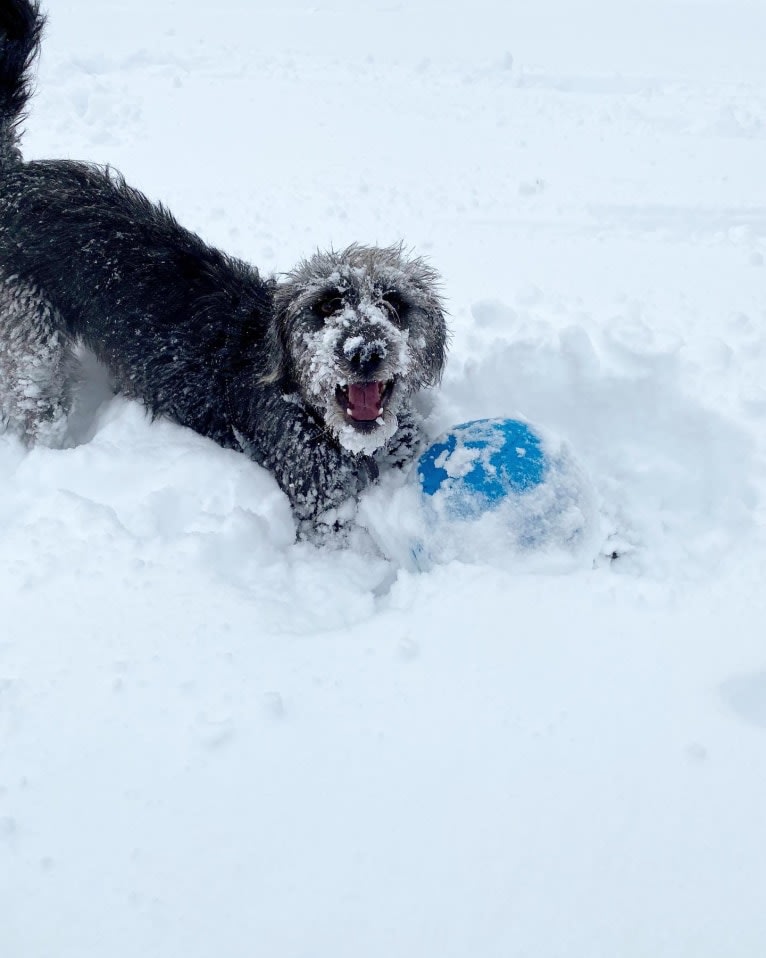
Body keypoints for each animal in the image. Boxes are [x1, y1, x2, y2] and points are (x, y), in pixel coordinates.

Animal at [0, 0, 450, 540]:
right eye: (327, 304)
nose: (364, 353)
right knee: (36, 409)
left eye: (394, 303)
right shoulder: (320, 507)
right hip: (30, 347)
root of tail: (12, 179)